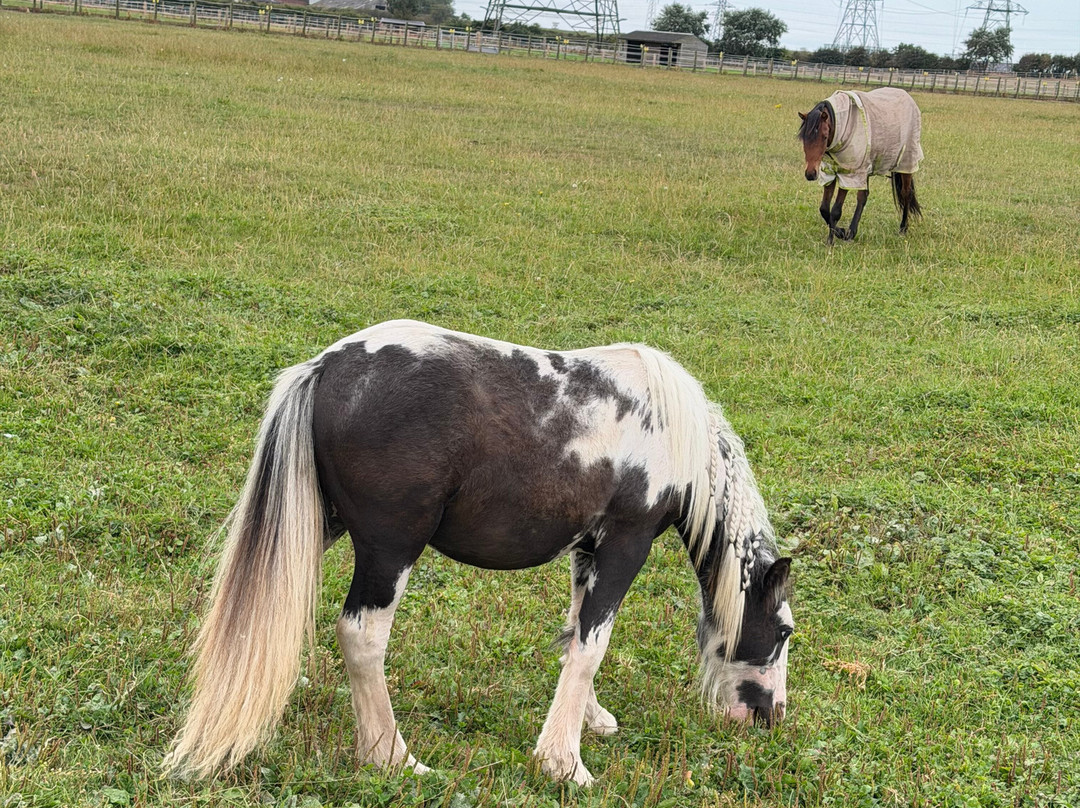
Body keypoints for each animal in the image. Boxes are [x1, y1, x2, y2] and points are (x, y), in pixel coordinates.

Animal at [162, 319, 794, 787]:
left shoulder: (586, 552)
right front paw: (565, 763)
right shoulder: (624, 545)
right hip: (390, 550)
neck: (670, 430)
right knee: (362, 637)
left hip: (321, 526)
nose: (770, 717)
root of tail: (326, 368)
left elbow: (574, 634)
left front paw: (589, 723)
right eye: (783, 631)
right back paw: (391, 756)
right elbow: (592, 646)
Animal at [797, 87, 924, 244]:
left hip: (906, 164)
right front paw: (841, 232)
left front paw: (833, 239)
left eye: (824, 137)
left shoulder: (848, 173)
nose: (810, 173)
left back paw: (903, 228)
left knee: (906, 194)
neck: (842, 127)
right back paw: (852, 232)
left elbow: (836, 211)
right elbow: (824, 209)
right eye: (804, 138)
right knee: (863, 197)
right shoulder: (830, 173)